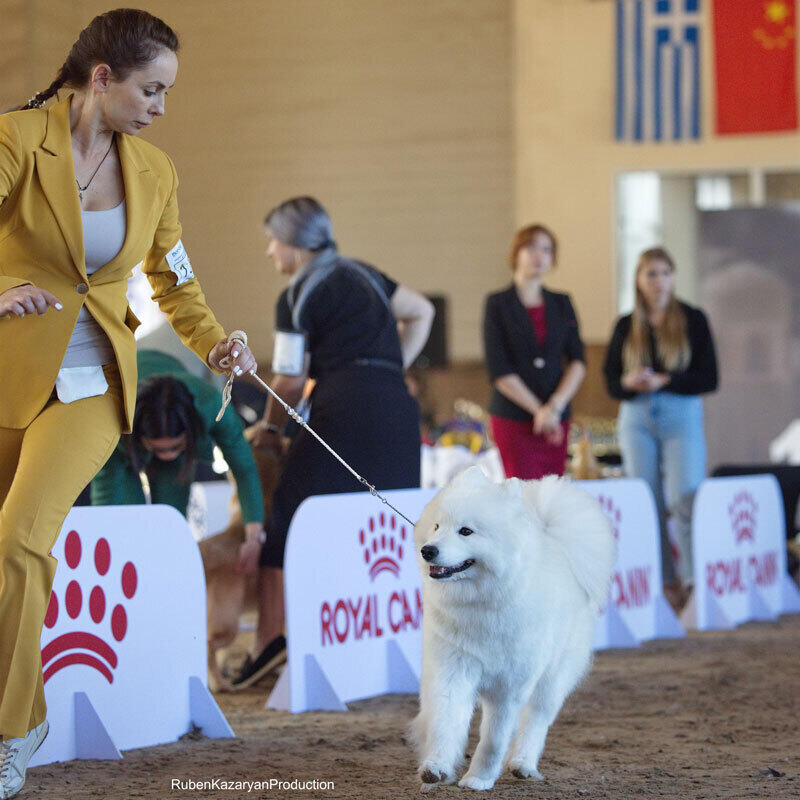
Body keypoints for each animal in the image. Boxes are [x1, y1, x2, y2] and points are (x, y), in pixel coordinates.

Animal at [410, 466, 616, 792]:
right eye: (437, 526)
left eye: (465, 531)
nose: (427, 551)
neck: (483, 603)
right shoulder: (453, 670)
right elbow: (446, 721)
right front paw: (437, 768)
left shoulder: (510, 687)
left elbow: (494, 739)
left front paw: (478, 779)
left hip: (552, 680)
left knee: (536, 721)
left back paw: (523, 764)